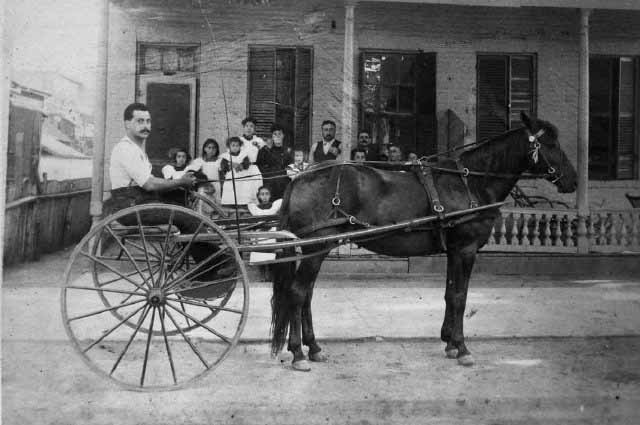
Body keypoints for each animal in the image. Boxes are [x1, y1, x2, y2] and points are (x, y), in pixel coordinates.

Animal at [268, 112, 576, 372]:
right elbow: (460, 297)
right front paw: (463, 349)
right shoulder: (466, 250)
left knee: (306, 295)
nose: (572, 180)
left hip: (317, 248)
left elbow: (450, 294)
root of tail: (300, 177)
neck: (470, 183)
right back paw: (298, 353)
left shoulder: (454, 251)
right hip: (316, 247)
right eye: (550, 143)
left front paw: (450, 343)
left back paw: (314, 348)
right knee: (297, 293)